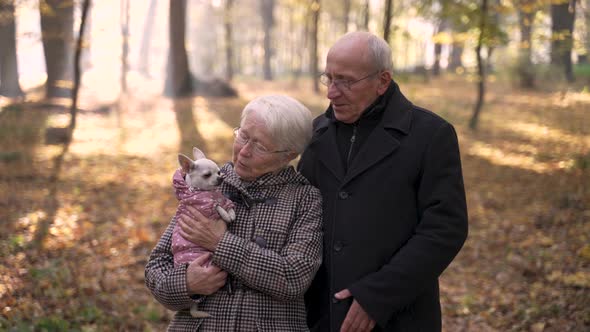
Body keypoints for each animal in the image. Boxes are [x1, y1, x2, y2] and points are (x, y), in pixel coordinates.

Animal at [171, 147, 236, 318]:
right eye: (207, 175)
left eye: (219, 172)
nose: (220, 178)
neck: (205, 192)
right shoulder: (205, 206)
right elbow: (218, 207)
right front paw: (226, 215)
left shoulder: (222, 198)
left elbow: (226, 203)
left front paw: (231, 213)